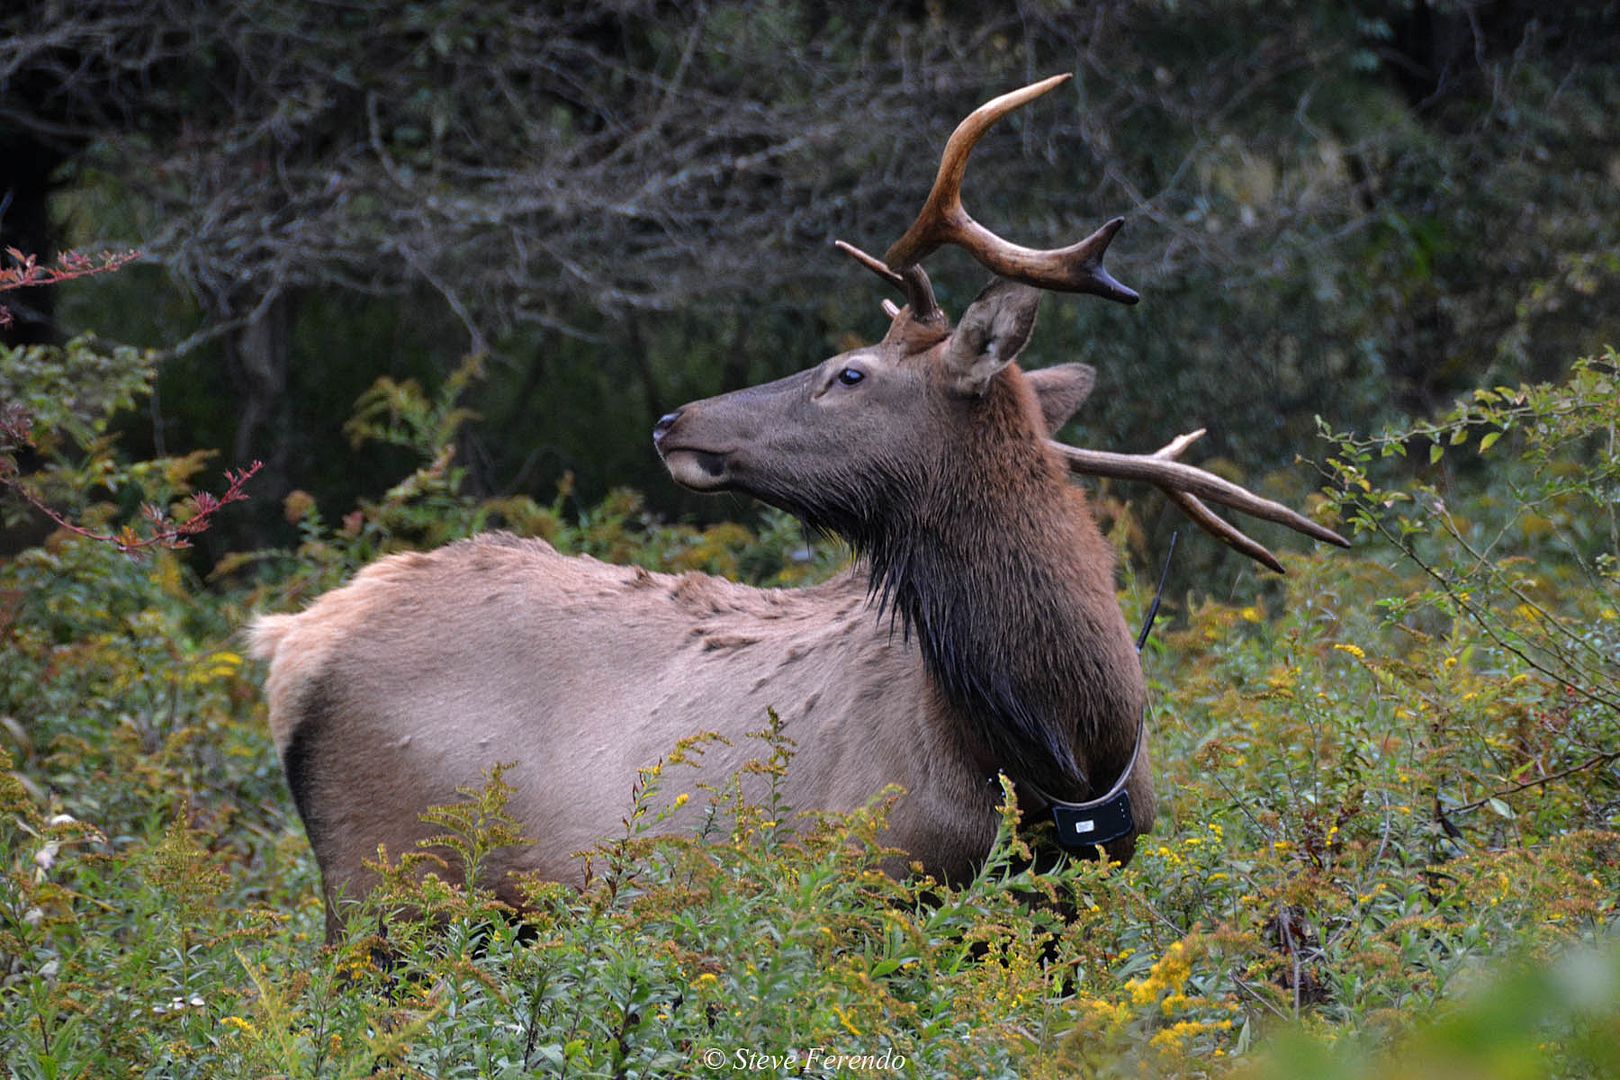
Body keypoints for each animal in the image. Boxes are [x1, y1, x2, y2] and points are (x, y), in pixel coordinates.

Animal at [250, 75, 1347, 937]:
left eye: (849, 374)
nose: (673, 419)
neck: (1067, 755)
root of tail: (296, 639)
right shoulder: (861, 879)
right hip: (389, 886)